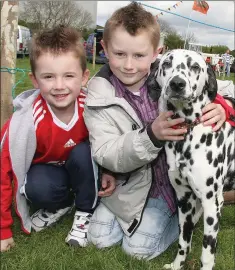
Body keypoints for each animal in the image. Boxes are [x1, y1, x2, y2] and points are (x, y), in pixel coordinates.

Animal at [148, 49, 234, 270]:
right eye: (167, 63)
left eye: (195, 66)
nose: (177, 84)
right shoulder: (184, 201)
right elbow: (183, 241)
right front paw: (177, 265)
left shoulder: (212, 204)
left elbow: (207, 253)